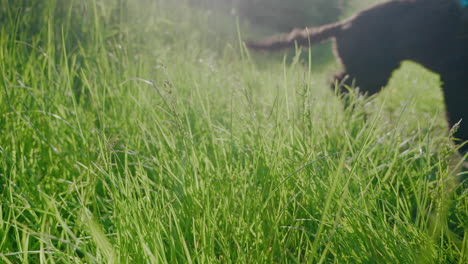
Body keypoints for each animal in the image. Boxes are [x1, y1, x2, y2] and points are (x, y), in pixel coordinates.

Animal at [247, 0, 466, 154]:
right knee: (339, 85)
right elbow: (457, 115)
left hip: (369, 70)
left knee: (342, 85)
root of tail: (344, 24)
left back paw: (357, 119)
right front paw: (462, 147)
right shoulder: (453, 77)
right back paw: (358, 121)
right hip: (372, 71)